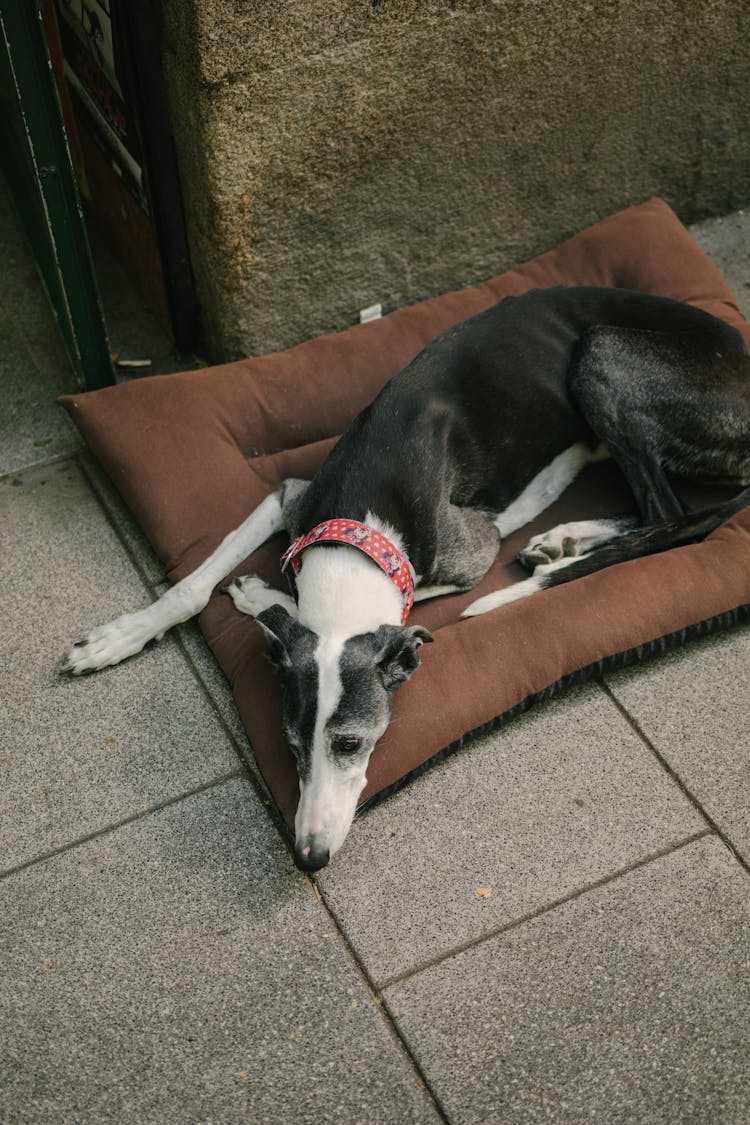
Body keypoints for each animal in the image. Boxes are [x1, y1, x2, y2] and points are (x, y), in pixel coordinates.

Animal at [62, 288, 750, 868]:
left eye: (350, 745)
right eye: (290, 745)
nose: (309, 858)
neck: (362, 538)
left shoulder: (475, 550)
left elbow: (414, 597)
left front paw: (261, 595)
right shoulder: (291, 498)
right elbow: (193, 584)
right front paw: (117, 639)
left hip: (604, 352)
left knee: (668, 511)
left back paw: (565, 534)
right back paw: (565, 539)